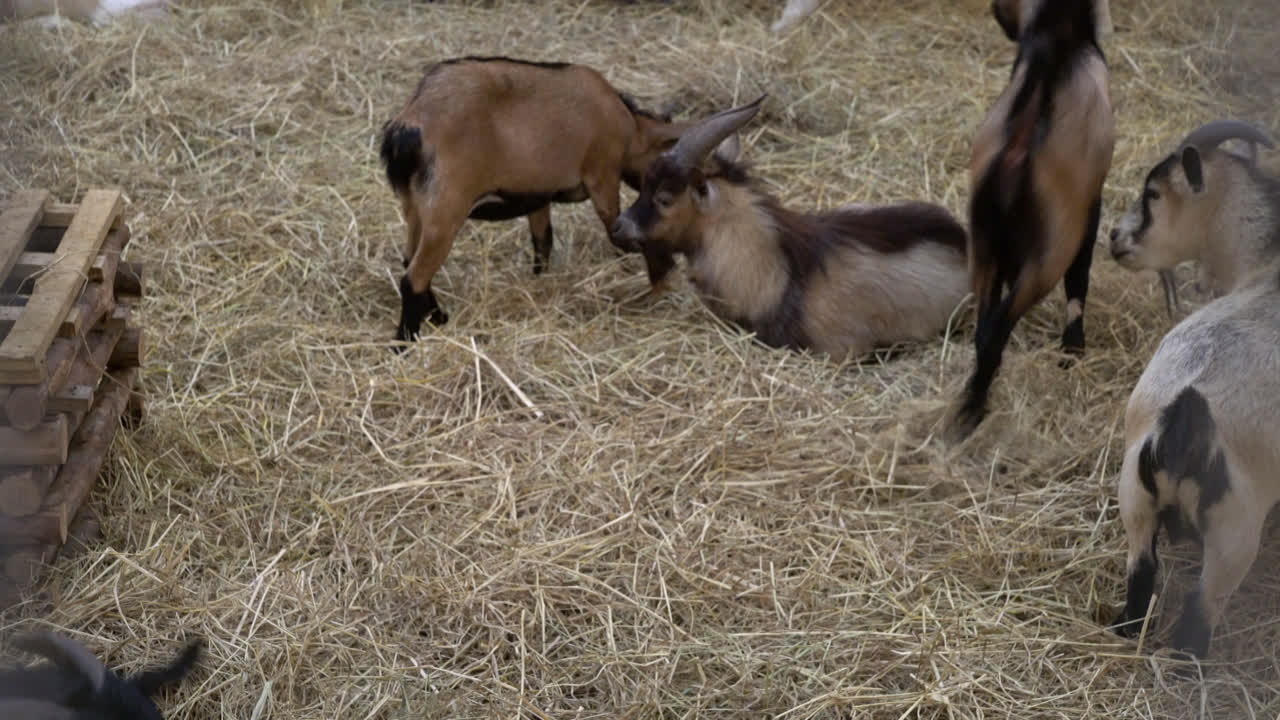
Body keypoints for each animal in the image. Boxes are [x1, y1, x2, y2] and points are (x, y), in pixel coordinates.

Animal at [379, 56, 688, 347]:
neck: (629, 127)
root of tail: (408, 127)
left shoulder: (538, 196)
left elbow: (543, 240)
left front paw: (540, 278)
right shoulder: (603, 176)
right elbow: (616, 229)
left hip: (416, 206)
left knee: (409, 260)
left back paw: (438, 317)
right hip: (446, 209)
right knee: (414, 277)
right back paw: (404, 342)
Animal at [947, 0, 1115, 441]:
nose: (998, 14)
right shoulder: (1088, 208)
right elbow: (1080, 278)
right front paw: (1073, 350)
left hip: (983, 244)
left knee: (985, 328)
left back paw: (971, 403)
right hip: (1047, 255)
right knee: (996, 330)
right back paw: (972, 411)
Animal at [1104, 120, 1280, 662]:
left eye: (1153, 193)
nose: (1114, 237)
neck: (1265, 269)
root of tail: (1183, 425)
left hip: (1134, 497)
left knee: (1141, 583)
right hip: (1234, 532)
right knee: (1199, 619)